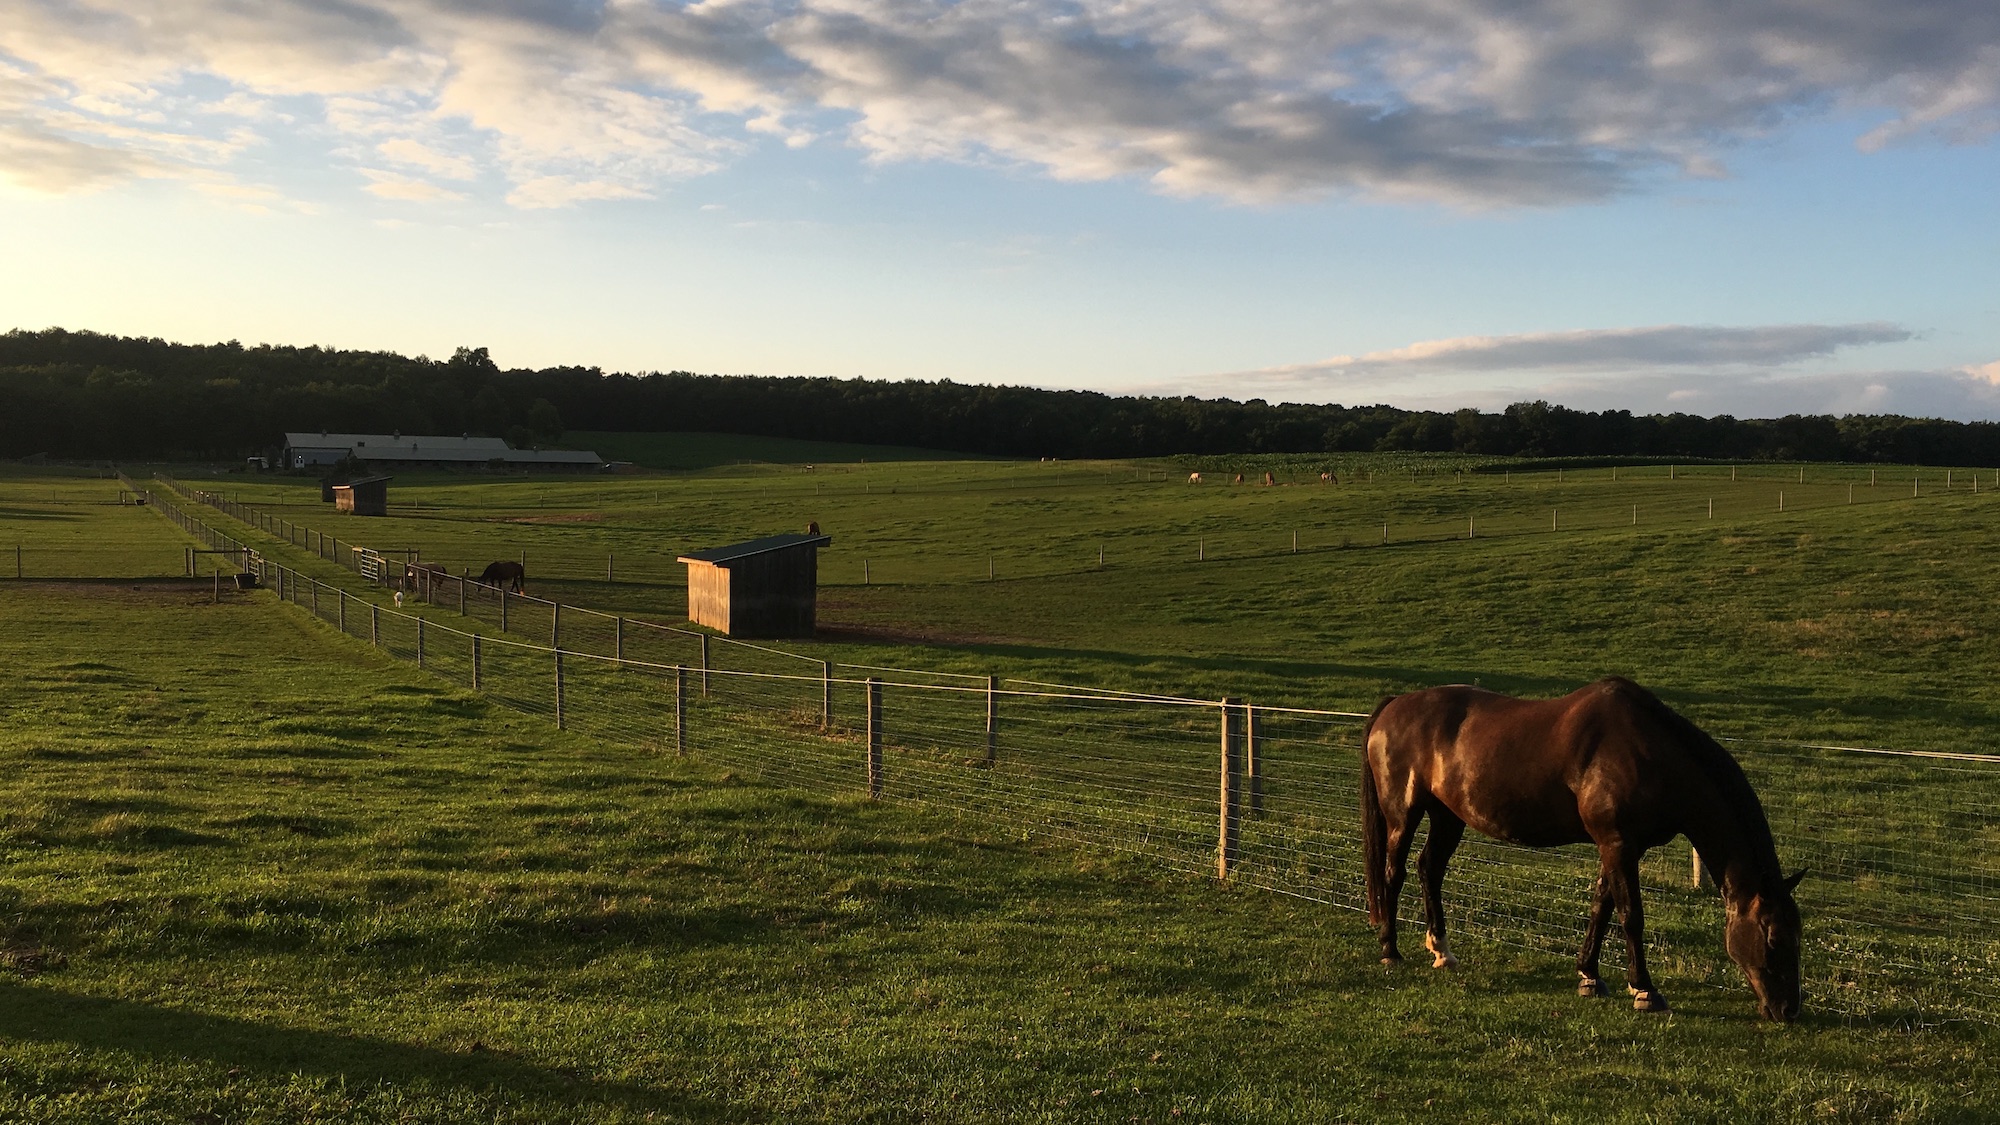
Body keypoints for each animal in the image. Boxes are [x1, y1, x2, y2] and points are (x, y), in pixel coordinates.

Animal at [1360, 672, 1816, 1016]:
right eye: (1773, 939)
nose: (1788, 1010)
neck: (1649, 750)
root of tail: (1395, 704)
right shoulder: (1618, 844)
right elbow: (1631, 915)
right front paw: (1645, 990)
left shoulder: (1618, 846)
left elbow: (1602, 906)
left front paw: (1589, 976)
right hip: (1403, 813)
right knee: (1394, 873)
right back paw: (1390, 951)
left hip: (1448, 816)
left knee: (1429, 869)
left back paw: (1442, 951)